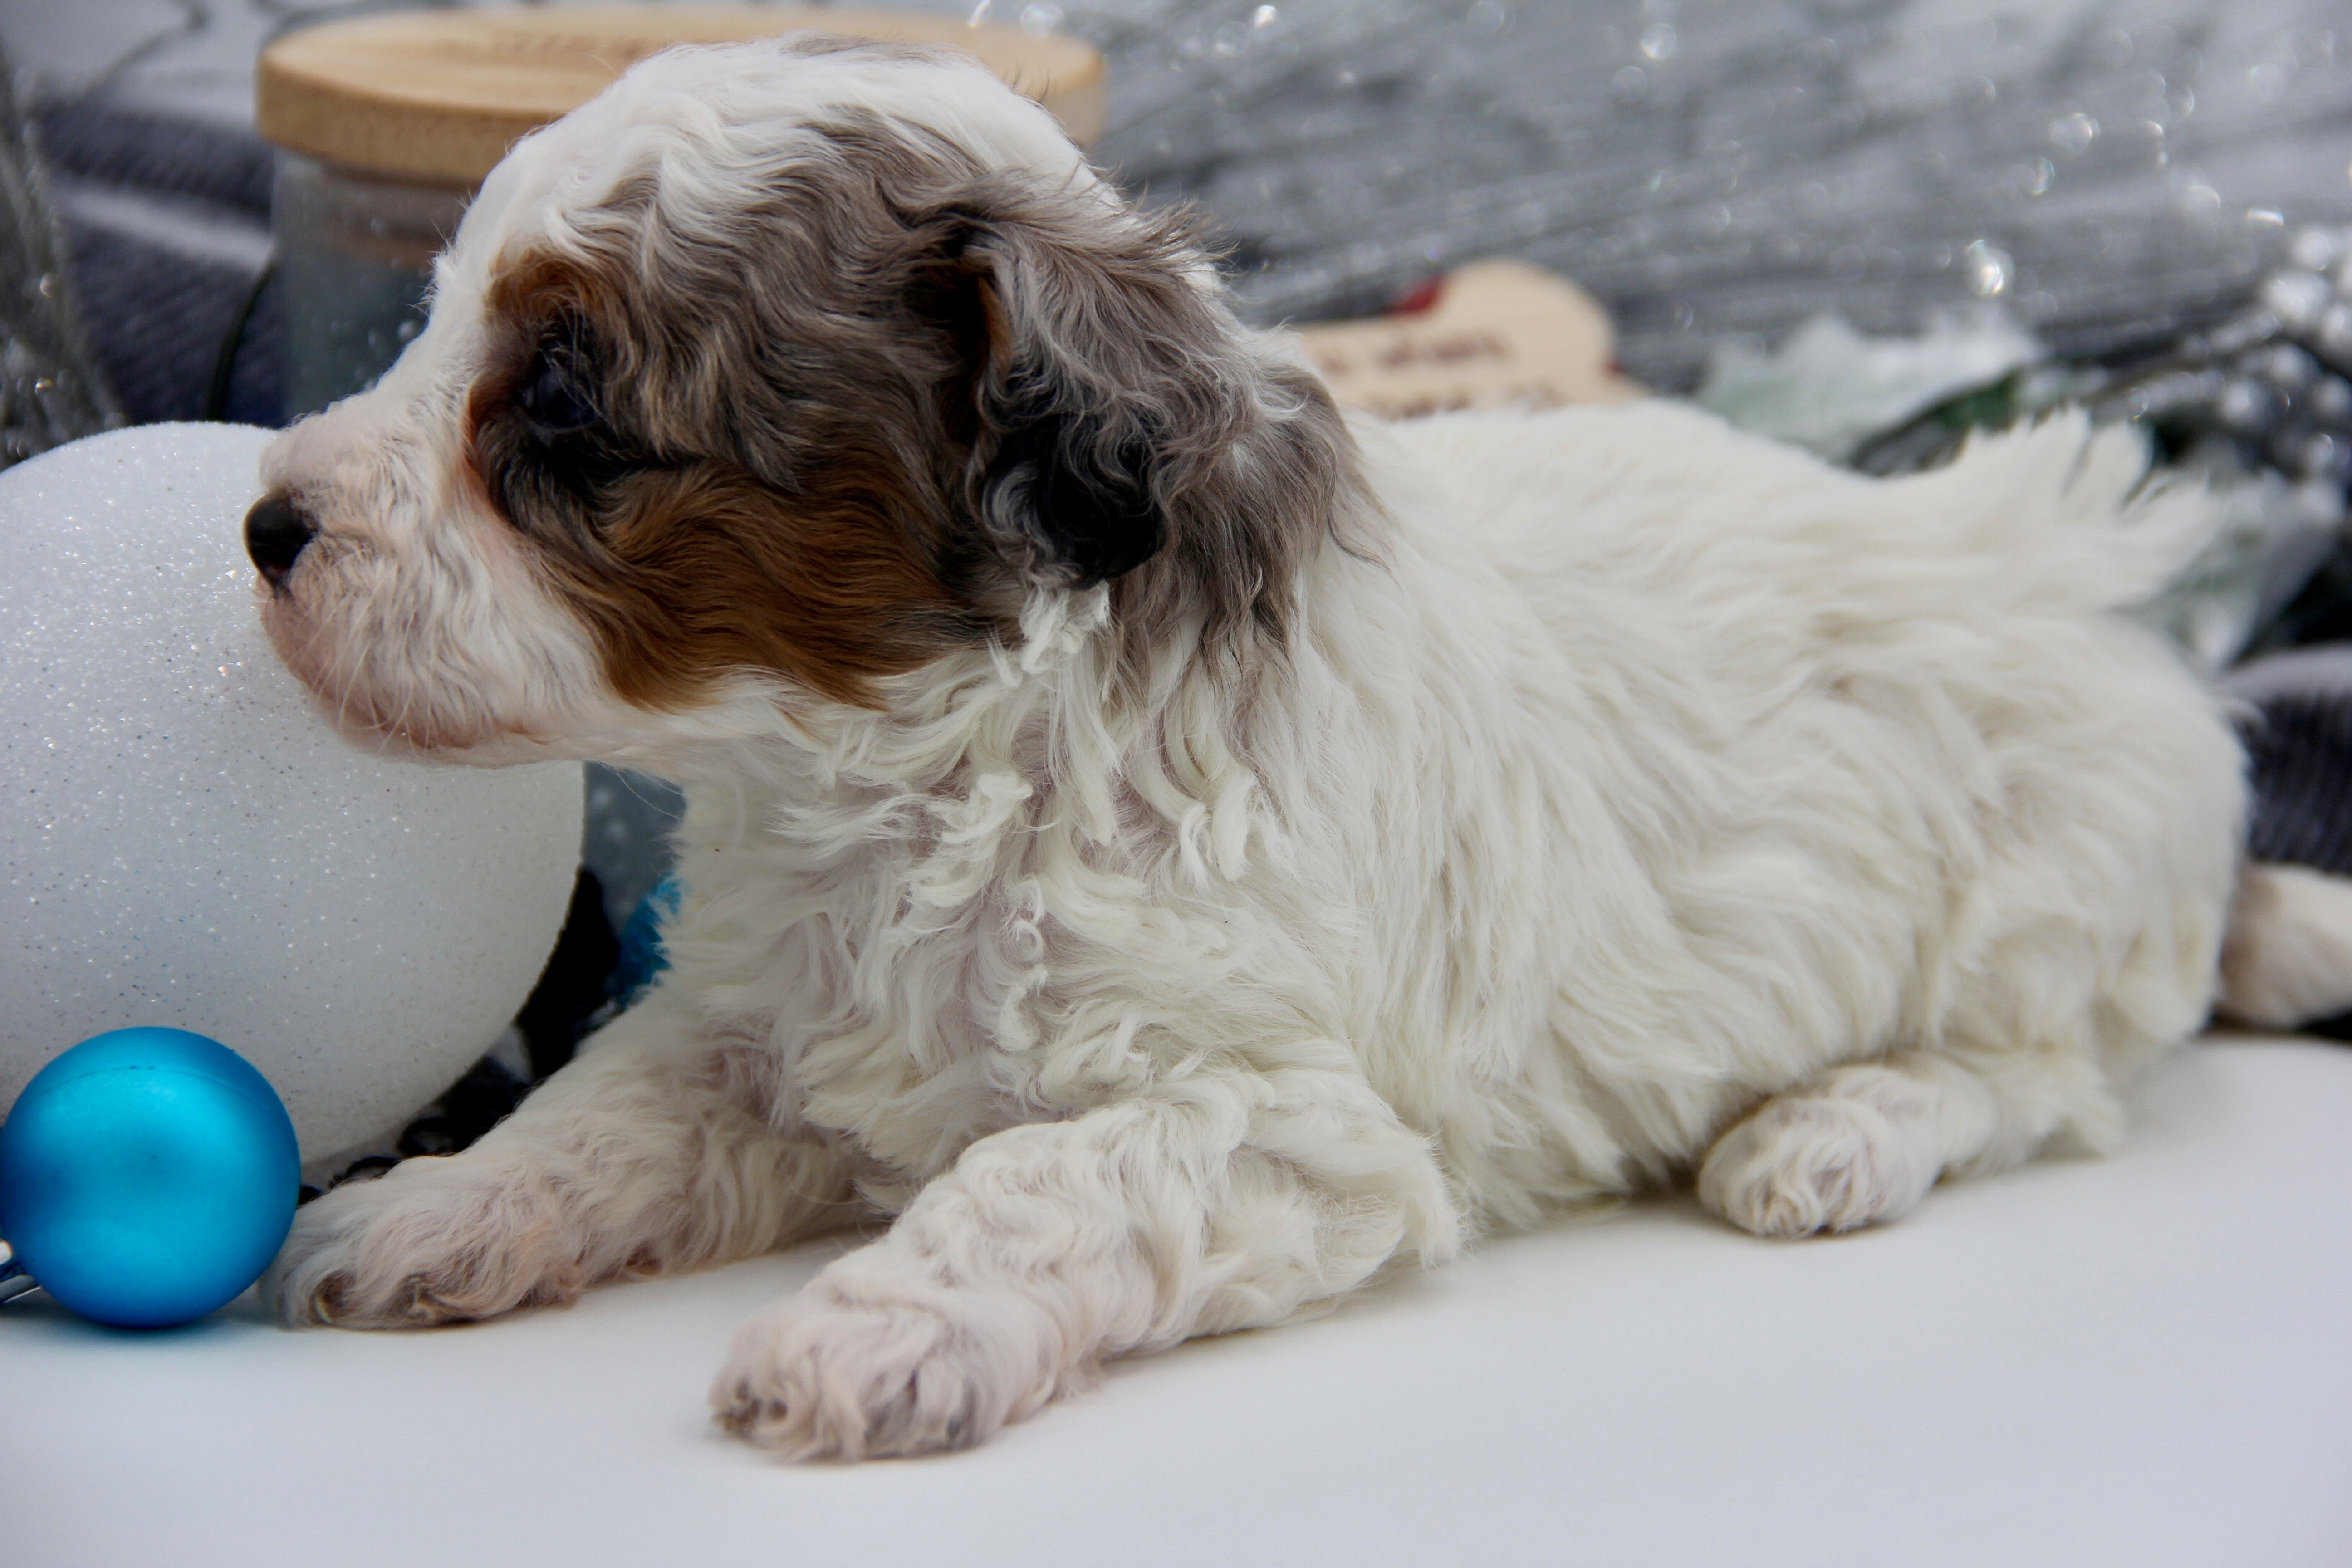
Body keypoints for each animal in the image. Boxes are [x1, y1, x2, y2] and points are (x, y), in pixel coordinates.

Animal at [257, 36, 2295, 1457]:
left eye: (566, 412)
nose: (267, 526)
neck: (889, 768)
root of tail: (2096, 590)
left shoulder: (1281, 1122)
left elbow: (1037, 1180)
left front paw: (875, 1331)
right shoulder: (756, 1025)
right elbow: (603, 1104)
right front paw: (432, 1207)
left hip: (2043, 891)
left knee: (2043, 1079)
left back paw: (1838, 1129)